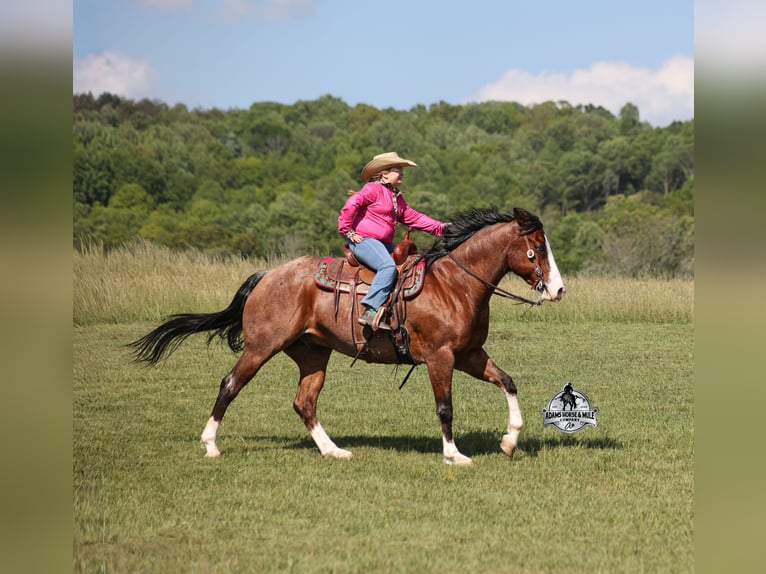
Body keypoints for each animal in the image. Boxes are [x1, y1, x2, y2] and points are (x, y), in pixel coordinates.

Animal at [130, 207, 566, 465]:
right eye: (537, 247)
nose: (559, 289)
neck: (454, 284)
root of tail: (267, 275)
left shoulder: (470, 355)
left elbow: (508, 382)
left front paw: (510, 440)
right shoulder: (440, 357)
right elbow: (445, 408)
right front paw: (453, 454)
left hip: (312, 355)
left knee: (304, 402)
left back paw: (333, 450)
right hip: (261, 346)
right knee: (230, 384)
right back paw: (211, 444)